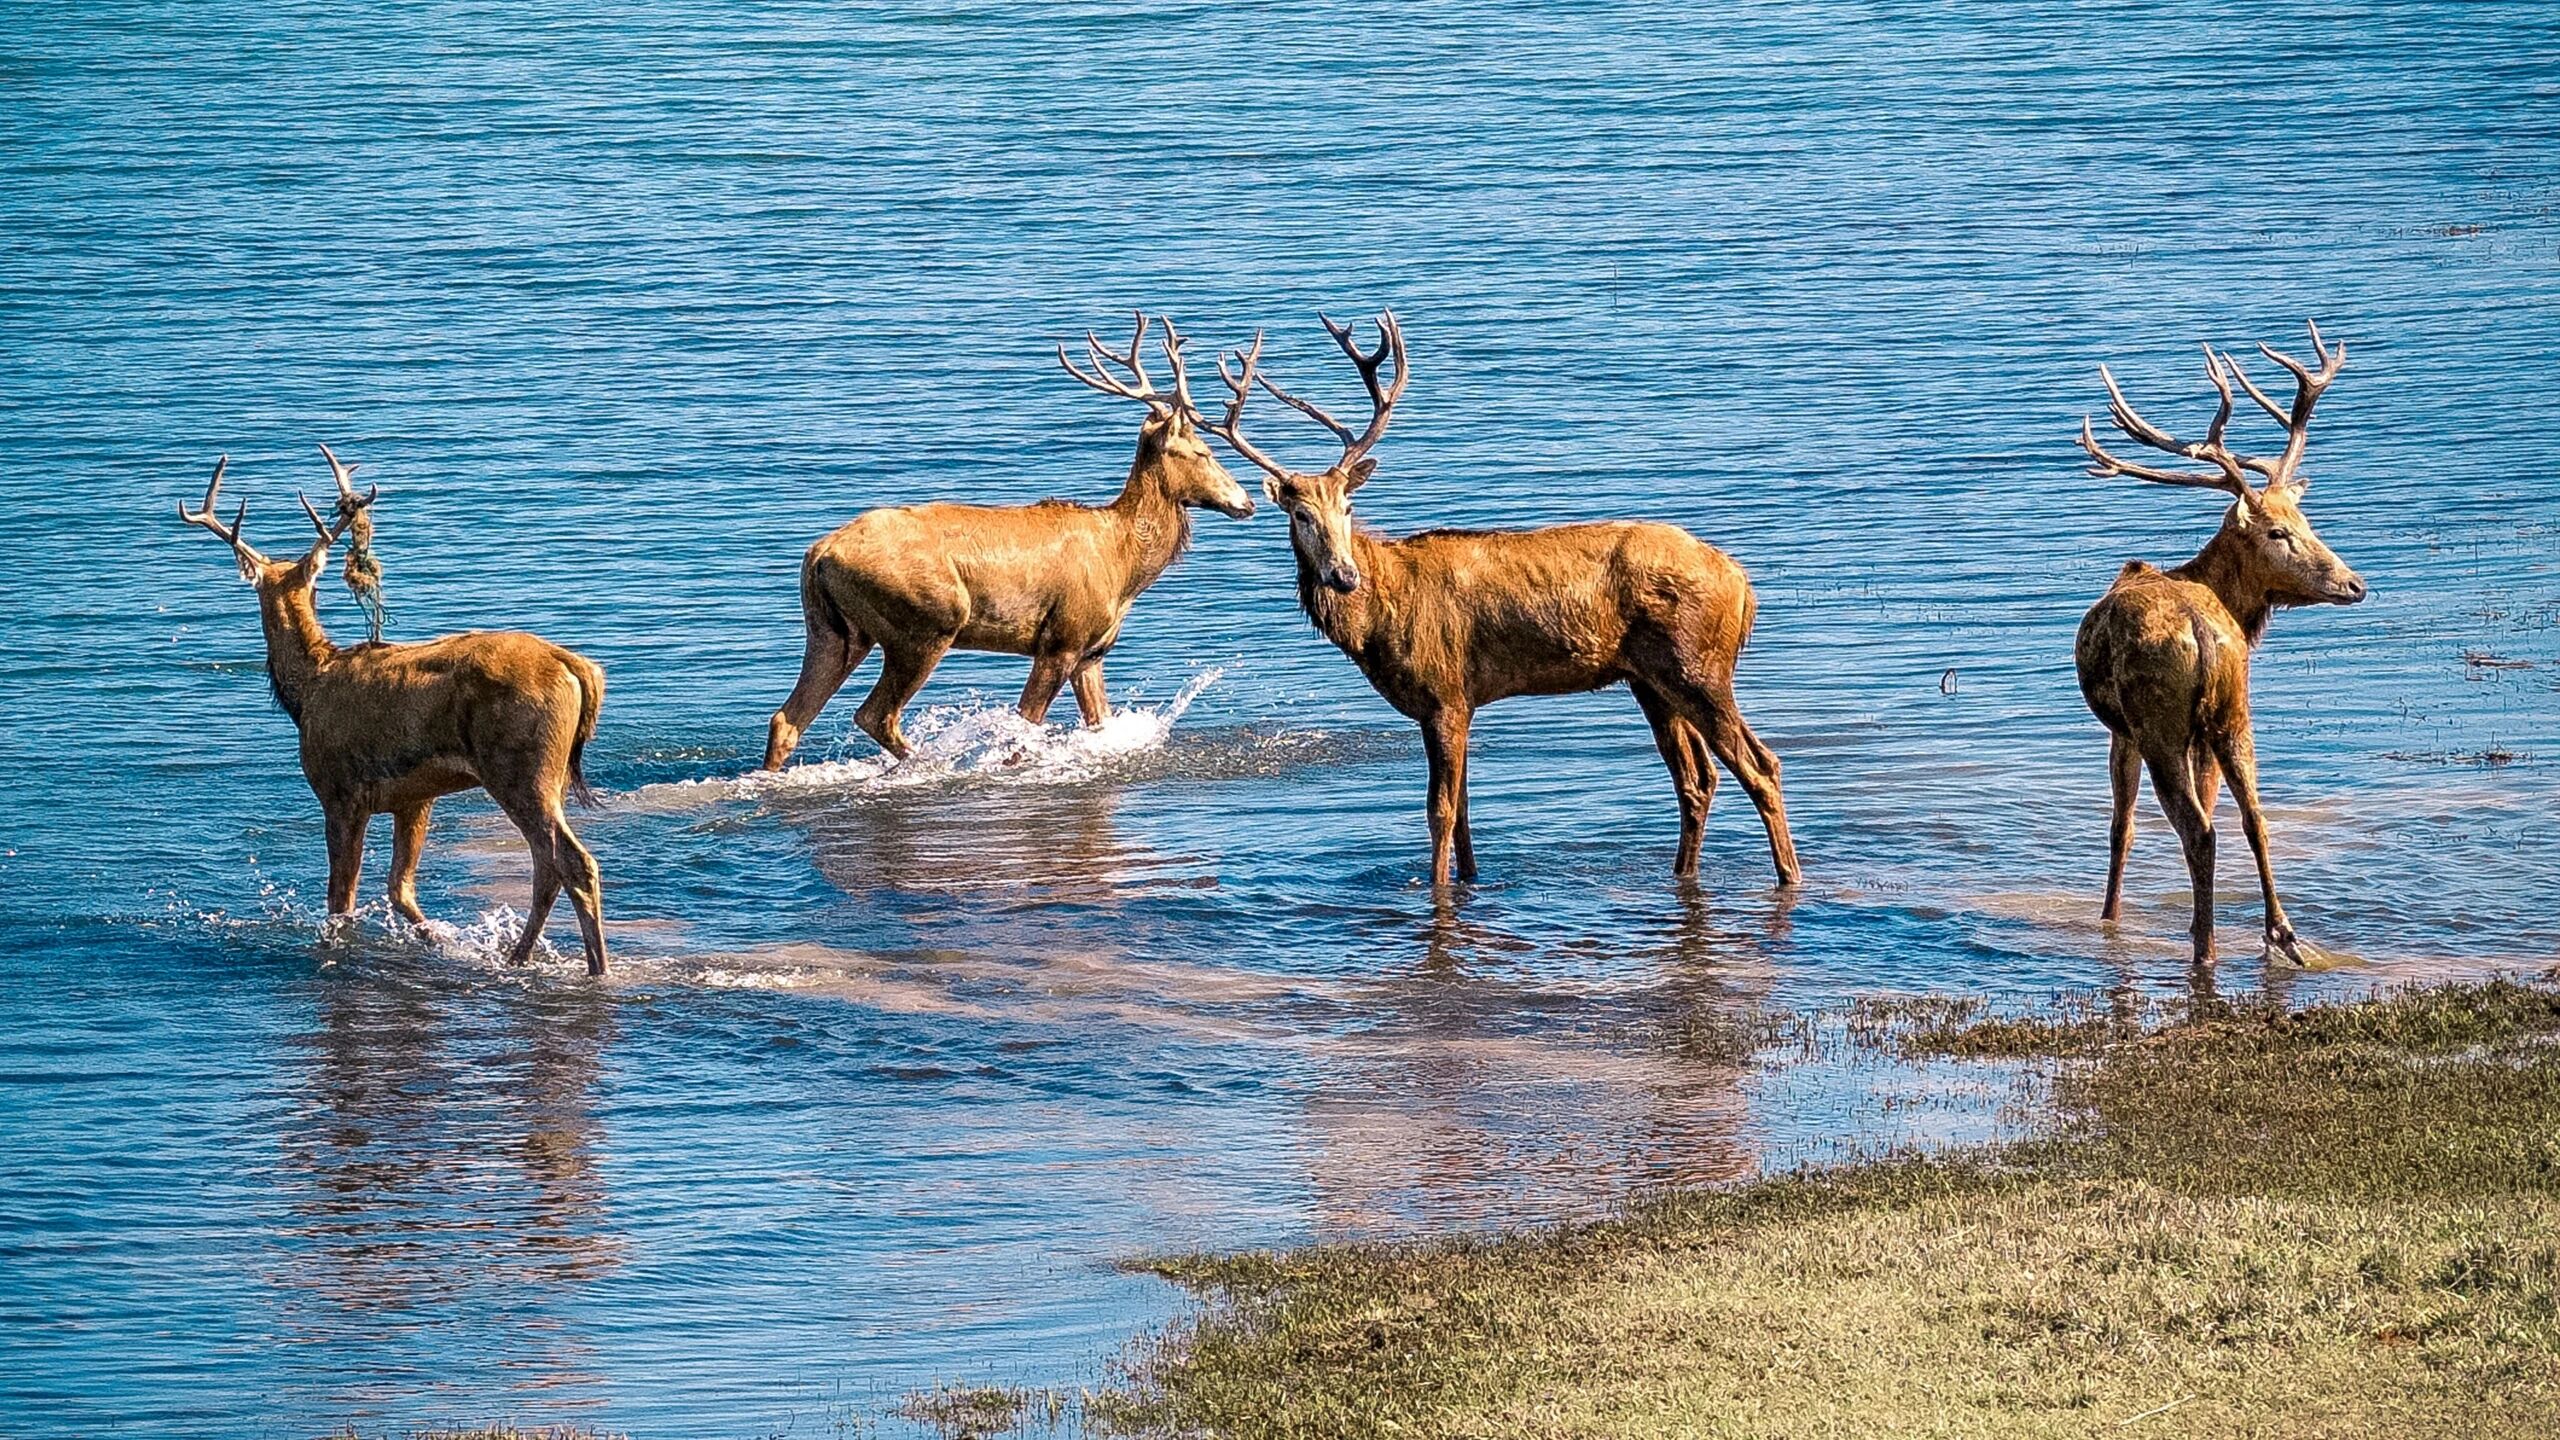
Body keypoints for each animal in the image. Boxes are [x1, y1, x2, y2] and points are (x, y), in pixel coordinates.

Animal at [178, 450, 611, 975]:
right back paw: (519, 955)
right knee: (547, 865)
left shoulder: (339, 791)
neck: (306, 690)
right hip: (547, 773)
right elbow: (399, 888)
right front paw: (437, 940)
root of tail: (578, 668)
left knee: (572, 862)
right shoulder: (415, 797)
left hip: (521, 766)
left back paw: (592, 966)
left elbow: (340, 898)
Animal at [760, 314, 1257, 770]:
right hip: (926, 621)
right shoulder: (1061, 639)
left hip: (833, 629)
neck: (1125, 566)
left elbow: (1098, 722)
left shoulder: (1091, 653)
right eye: (1204, 452)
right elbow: (1024, 726)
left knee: (787, 718)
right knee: (875, 714)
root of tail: (818, 555)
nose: (1246, 501)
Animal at [1206, 312, 1800, 890]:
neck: (1379, 622)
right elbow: (1465, 812)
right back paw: (1684, 872)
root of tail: (1742, 583)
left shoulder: (1444, 693)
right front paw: (1469, 878)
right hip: (1650, 680)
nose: (1344, 575)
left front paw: (1438, 888)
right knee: (1697, 778)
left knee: (1761, 765)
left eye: (1349, 508)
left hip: (1697, 667)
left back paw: (1787, 876)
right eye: (1301, 514)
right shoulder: (1457, 702)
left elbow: (1440, 811)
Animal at [2074, 321, 2367, 969]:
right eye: (2282, 530)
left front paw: (2108, 920)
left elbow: (2121, 827)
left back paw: (2205, 947)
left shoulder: (2122, 731)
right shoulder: (2199, 730)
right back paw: (2281, 934)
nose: (2354, 583)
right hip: (2233, 713)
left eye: (2306, 524)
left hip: (2158, 723)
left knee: (2198, 828)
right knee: (2254, 816)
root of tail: (2206, 632)